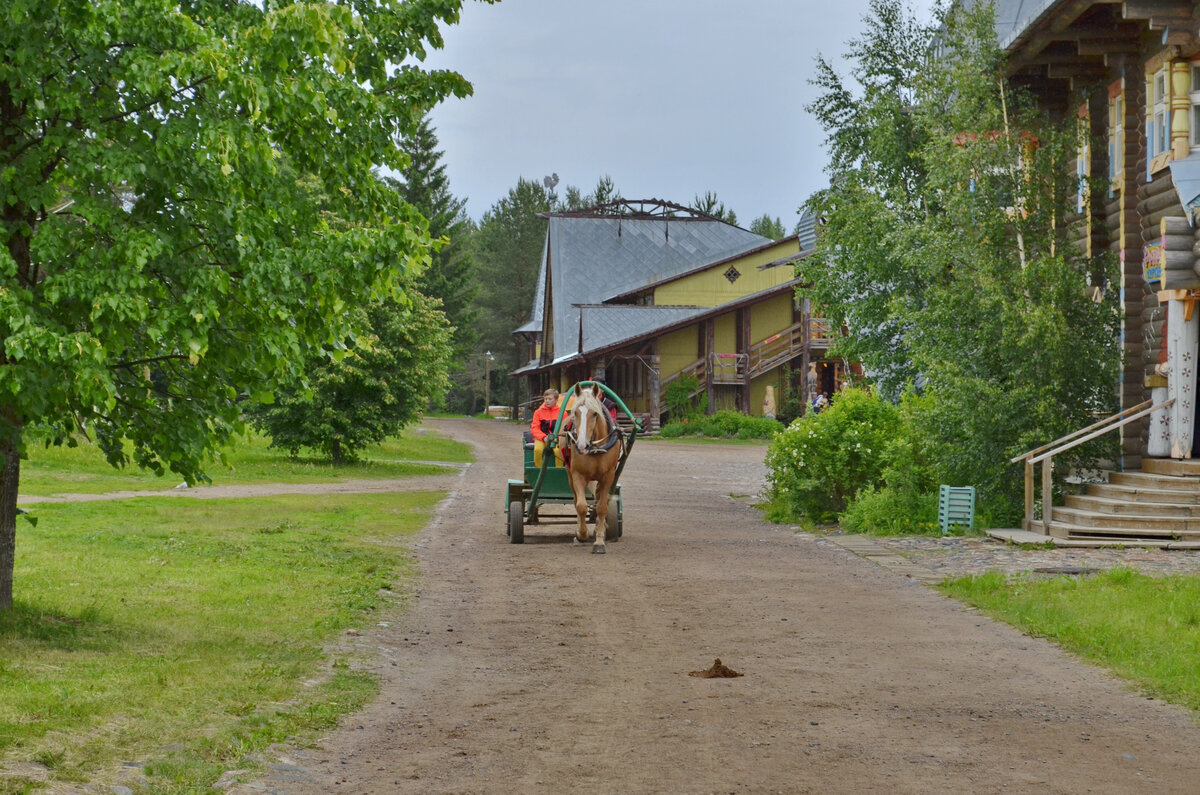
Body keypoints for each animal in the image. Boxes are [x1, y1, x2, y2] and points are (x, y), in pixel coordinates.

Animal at [556, 384, 624, 554]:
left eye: (594, 414)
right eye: (576, 413)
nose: (581, 445)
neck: (594, 448)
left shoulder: (608, 476)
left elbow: (602, 507)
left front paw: (599, 540)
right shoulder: (578, 475)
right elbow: (581, 506)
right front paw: (581, 534)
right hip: (570, 475)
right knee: (576, 501)